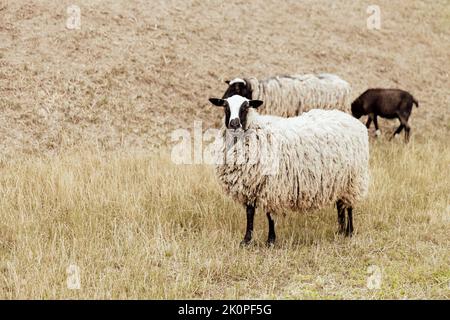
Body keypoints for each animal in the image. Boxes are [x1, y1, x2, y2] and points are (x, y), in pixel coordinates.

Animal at [207, 94, 370, 245]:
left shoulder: (271, 186)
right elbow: (250, 212)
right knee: (340, 205)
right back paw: (340, 231)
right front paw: (246, 240)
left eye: (246, 106)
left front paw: (271, 240)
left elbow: (269, 215)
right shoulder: (250, 184)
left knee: (349, 206)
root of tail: (350, 119)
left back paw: (349, 231)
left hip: (353, 179)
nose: (234, 123)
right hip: (339, 179)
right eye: (225, 106)